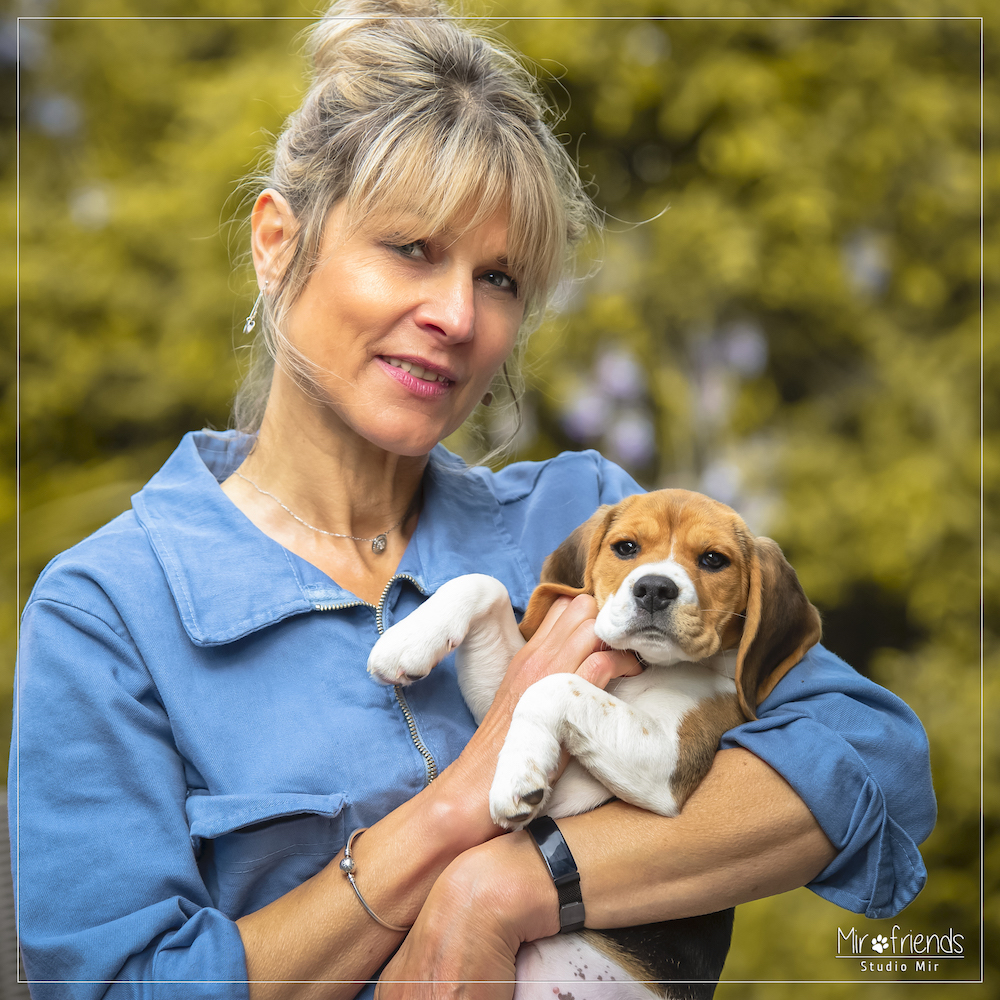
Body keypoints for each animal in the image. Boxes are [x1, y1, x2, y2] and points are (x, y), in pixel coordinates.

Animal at [368, 488, 820, 996]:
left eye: (712, 559)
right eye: (626, 548)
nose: (655, 589)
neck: (643, 665)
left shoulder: (666, 760)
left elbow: (552, 685)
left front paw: (518, 775)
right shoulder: (497, 697)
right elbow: (485, 585)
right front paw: (404, 644)